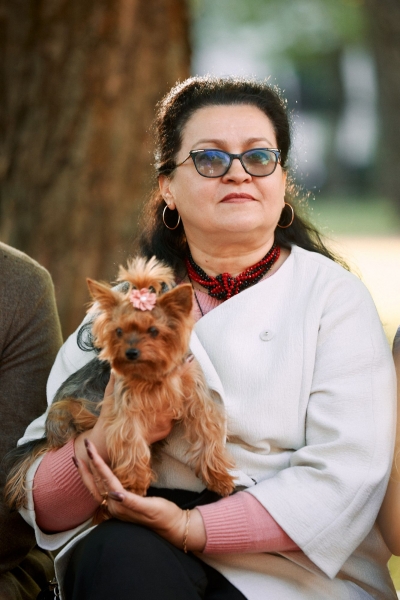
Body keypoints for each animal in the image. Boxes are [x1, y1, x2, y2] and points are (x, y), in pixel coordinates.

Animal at [5, 257, 236, 511]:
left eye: (153, 330)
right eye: (119, 330)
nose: (131, 352)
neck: (155, 372)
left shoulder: (196, 397)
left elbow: (207, 431)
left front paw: (218, 477)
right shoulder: (126, 407)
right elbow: (130, 439)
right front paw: (134, 485)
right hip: (63, 412)